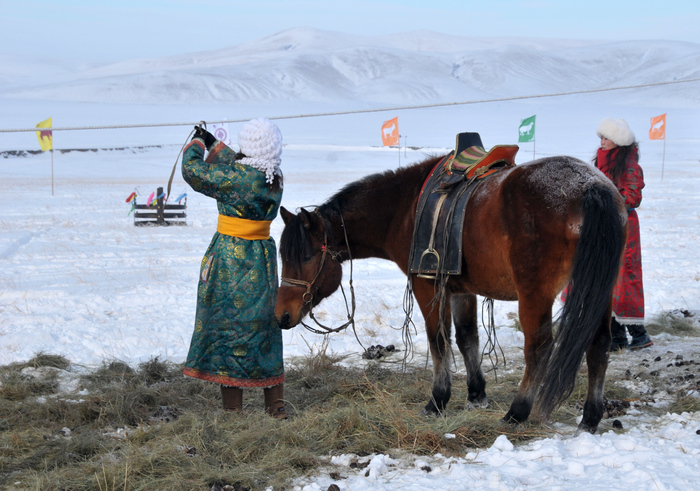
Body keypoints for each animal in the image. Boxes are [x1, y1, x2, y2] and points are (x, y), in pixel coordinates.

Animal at [274, 154, 628, 434]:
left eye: (304, 256)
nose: (281, 315)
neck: (403, 209)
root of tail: (591, 186)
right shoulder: (460, 290)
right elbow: (467, 338)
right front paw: (476, 394)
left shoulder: (428, 286)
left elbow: (438, 341)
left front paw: (437, 400)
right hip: (599, 290)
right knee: (599, 345)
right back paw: (590, 417)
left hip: (535, 294)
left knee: (539, 349)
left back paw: (517, 412)